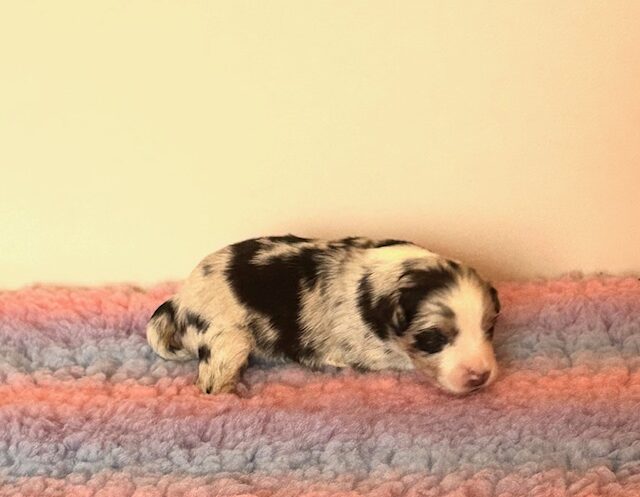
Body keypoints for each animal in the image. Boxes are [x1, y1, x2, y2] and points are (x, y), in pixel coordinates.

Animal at [147, 235, 500, 395]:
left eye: (489, 329)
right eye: (433, 338)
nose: (481, 377)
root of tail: (179, 301)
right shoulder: (373, 352)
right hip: (227, 340)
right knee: (210, 382)